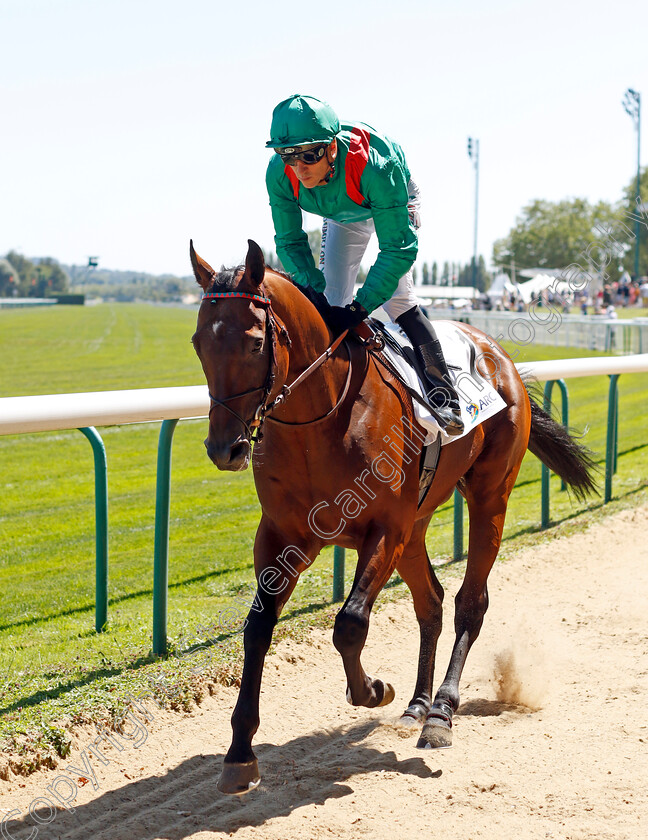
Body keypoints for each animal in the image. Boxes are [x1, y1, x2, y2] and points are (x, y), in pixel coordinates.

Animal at [189, 238, 596, 796]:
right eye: (197, 343)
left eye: (253, 344)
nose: (223, 448)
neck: (323, 418)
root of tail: (497, 354)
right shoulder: (280, 535)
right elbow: (258, 627)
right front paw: (239, 752)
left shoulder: (384, 529)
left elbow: (349, 623)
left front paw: (372, 688)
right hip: (418, 524)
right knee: (432, 602)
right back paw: (418, 705)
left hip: (488, 497)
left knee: (470, 603)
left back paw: (441, 712)